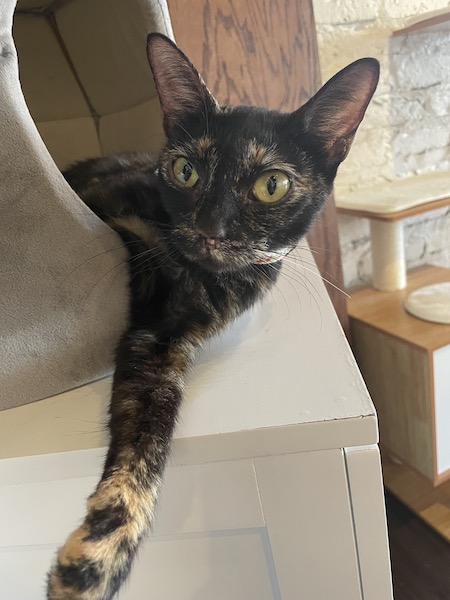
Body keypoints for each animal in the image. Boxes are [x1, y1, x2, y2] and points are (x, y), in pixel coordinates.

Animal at [47, 31, 378, 600]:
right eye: (186, 171)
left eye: (272, 185)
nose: (210, 228)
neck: (198, 278)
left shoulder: (161, 344)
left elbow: (149, 435)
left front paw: (95, 556)